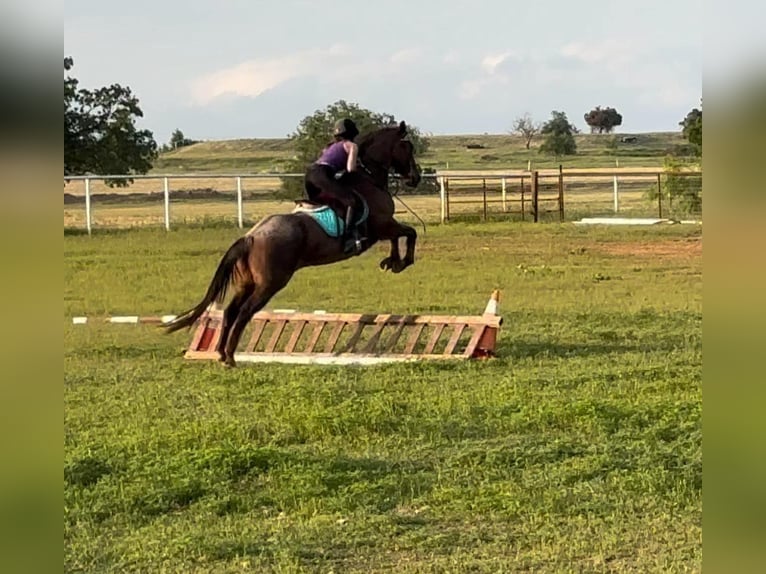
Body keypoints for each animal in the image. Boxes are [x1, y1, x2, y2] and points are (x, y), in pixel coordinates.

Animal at [164, 121, 422, 367]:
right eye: (407, 147)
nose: (415, 178)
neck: (369, 179)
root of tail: (251, 237)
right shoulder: (383, 225)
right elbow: (410, 233)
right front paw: (402, 262)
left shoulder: (385, 227)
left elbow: (400, 237)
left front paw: (392, 261)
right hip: (270, 283)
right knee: (244, 312)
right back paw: (229, 357)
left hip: (247, 282)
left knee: (230, 312)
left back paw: (219, 353)